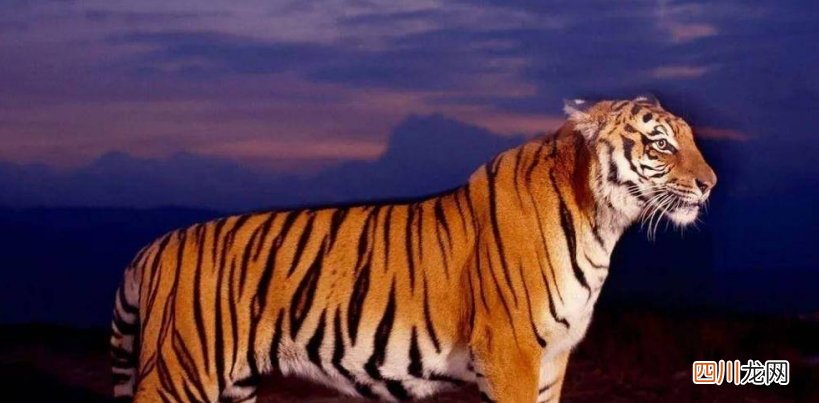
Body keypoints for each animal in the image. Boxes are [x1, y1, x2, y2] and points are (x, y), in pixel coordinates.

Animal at [110, 95, 716, 403]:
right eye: (661, 143)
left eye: (690, 140)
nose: (710, 183)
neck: (603, 223)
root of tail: (155, 246)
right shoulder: (511, 353)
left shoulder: (552, 359)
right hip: (181, 375)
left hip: (233, 387)